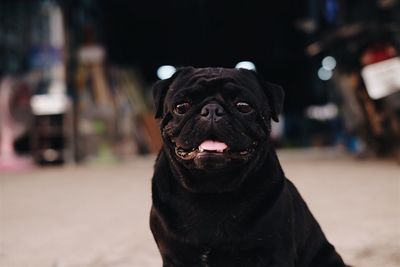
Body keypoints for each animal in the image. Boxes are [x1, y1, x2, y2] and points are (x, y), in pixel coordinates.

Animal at [150, 66, 346, 266]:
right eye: (181, 107)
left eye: (243, 106)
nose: (212, 109)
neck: (211, 189)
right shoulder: (174, 257)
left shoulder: (274, 256)